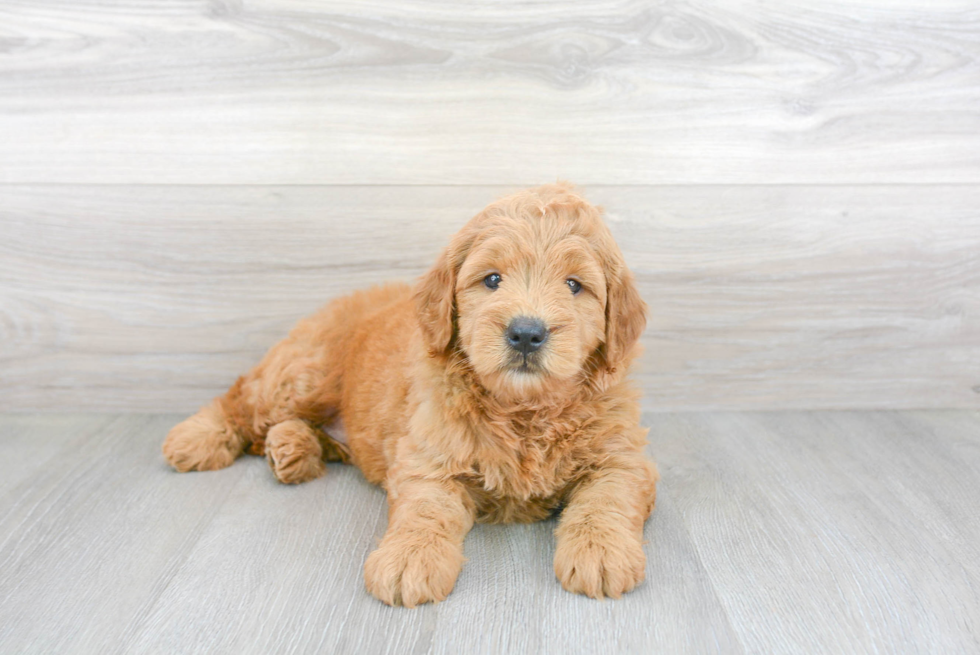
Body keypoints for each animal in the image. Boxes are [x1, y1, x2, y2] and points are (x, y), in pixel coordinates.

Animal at [163, 182, 660, 608]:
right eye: (492, 280)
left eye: (575, 285)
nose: (525, 333)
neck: (524, 410)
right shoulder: (428, 456)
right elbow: (425, 510)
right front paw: (409, 560)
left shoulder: (625, 458)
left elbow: (607, 498)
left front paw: (600, 553)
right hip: (305, 373)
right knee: (244, 397)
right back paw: (196, 438)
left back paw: (291, 449)